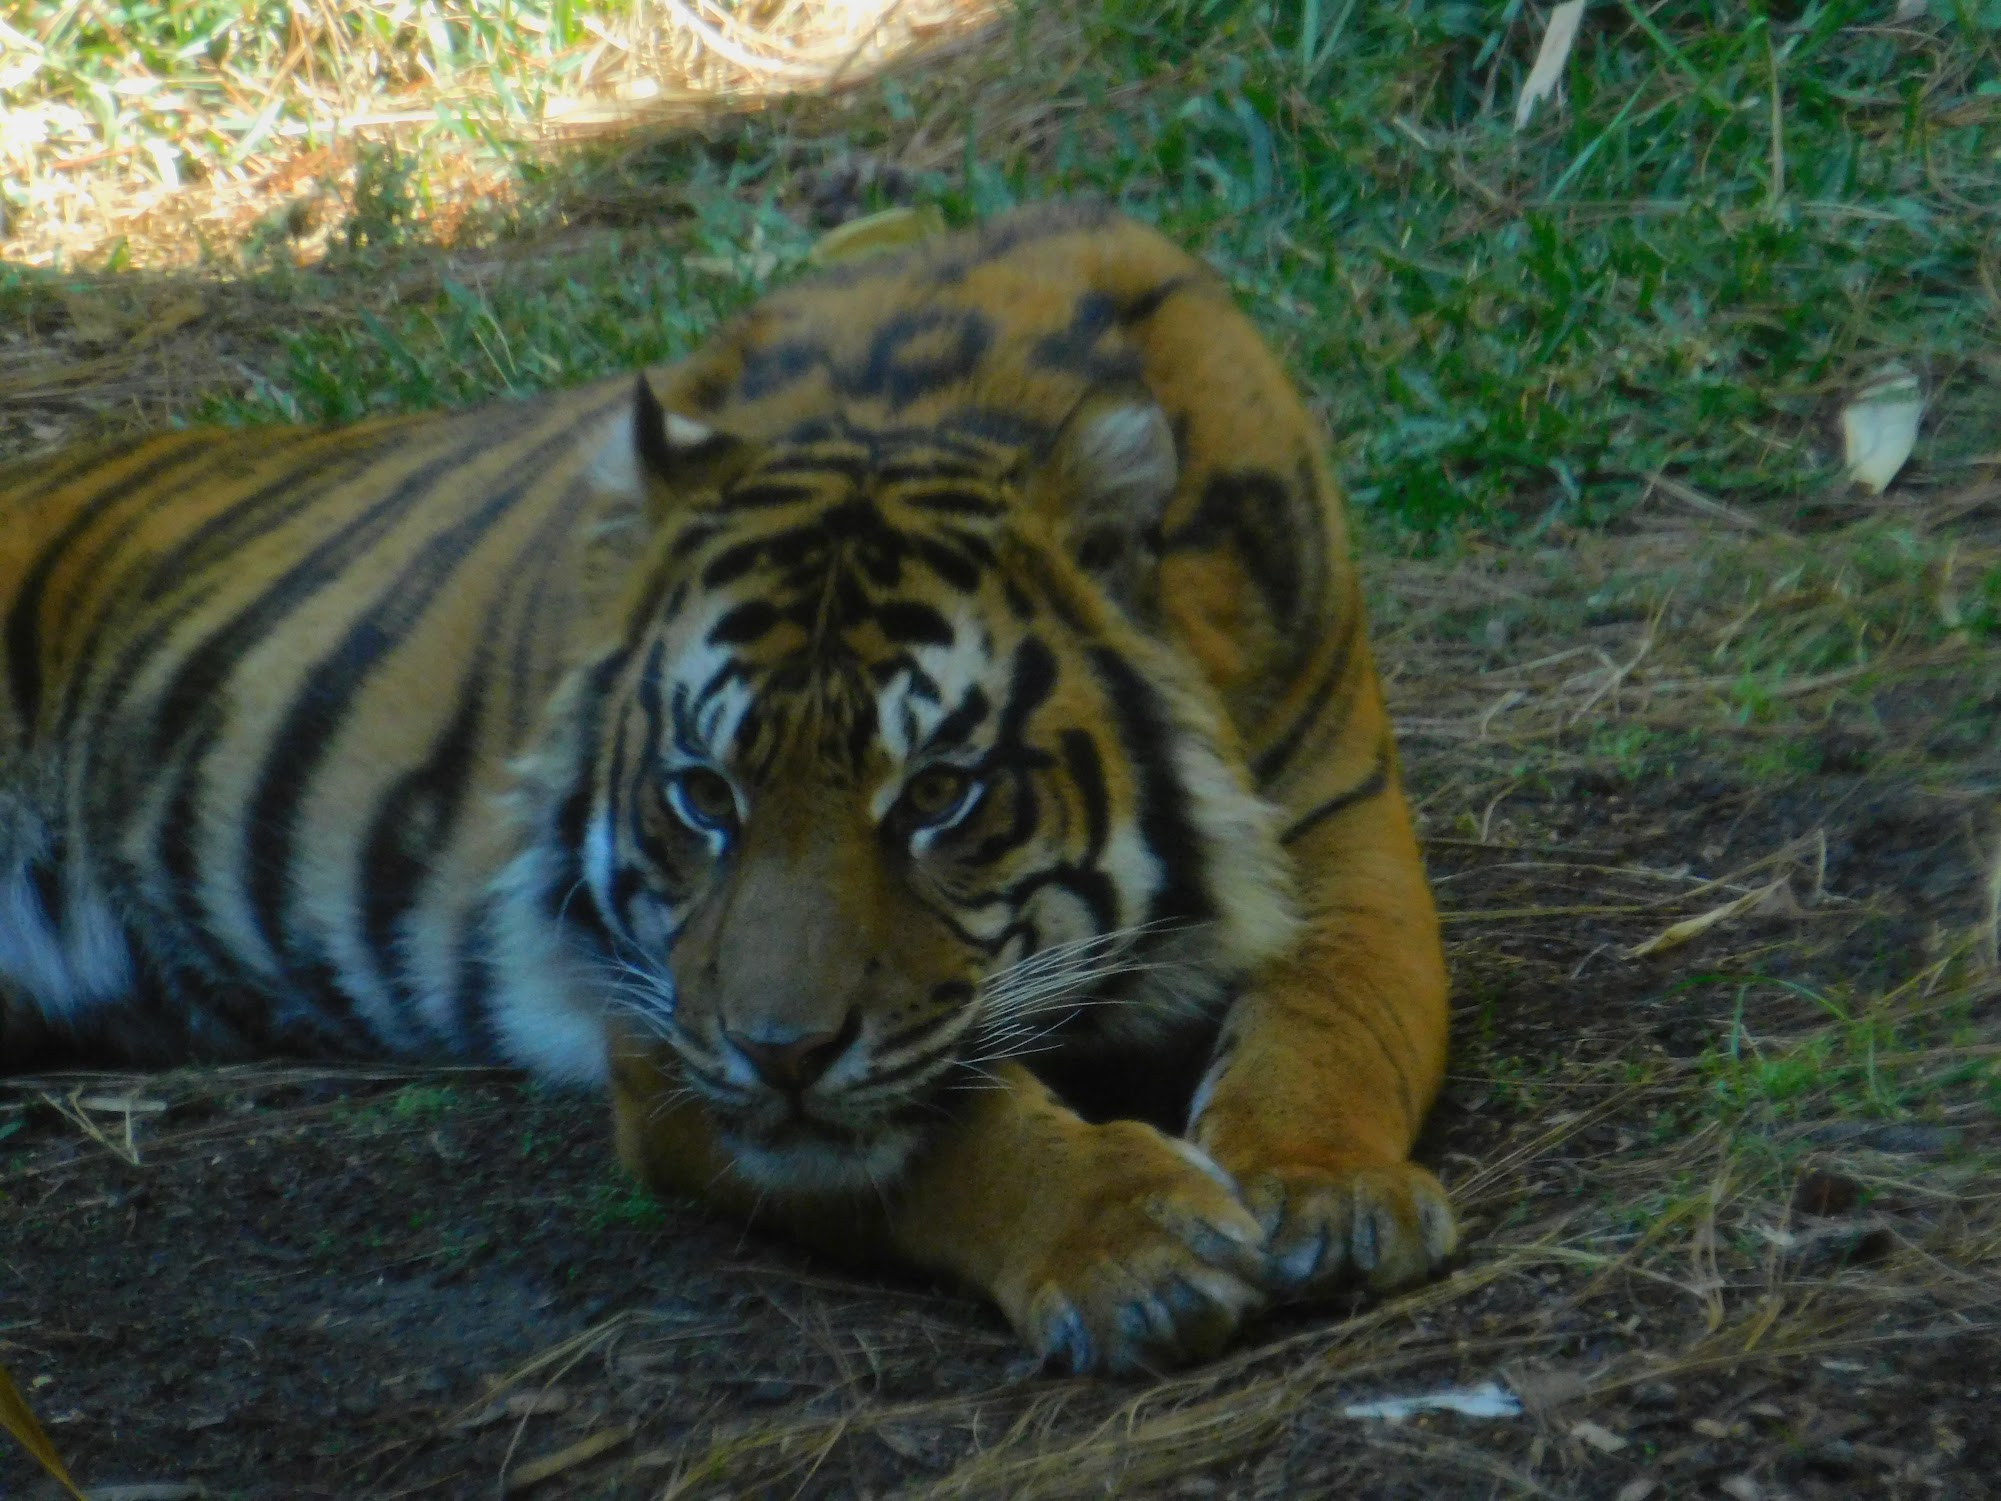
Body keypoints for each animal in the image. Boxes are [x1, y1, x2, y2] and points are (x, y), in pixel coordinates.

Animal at [0, 202, 1454, 1373]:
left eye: (938, 794)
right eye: (703, 796)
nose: (780, 1053)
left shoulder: (1340, 823)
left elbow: (1344, 1010)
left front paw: (1328, 1193)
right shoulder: (661, 1022)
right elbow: (948, 1130)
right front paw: (1132, 1243)